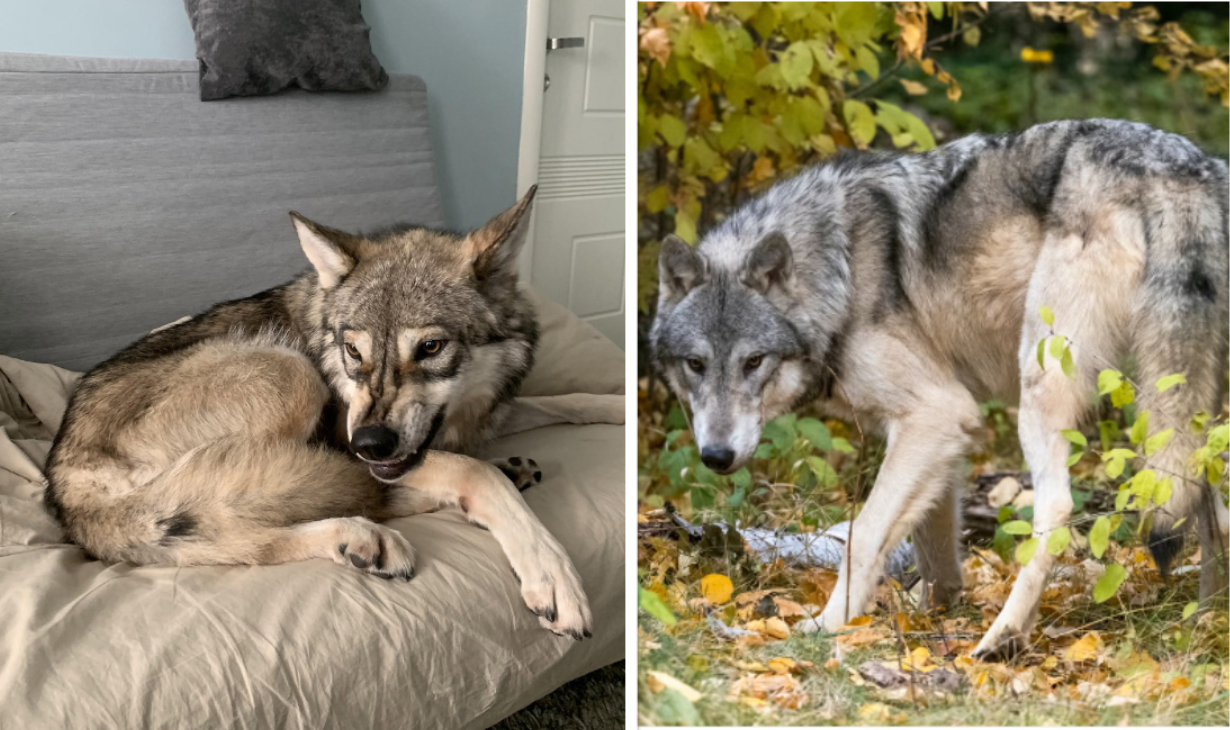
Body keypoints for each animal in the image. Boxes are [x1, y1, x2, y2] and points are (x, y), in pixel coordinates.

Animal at [45, 186, 622, 639]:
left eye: (431, 347)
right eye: (352, 351)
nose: (370, 443)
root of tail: (60, 483)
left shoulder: (485, 413)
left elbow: (563, 401)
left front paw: (616, 406)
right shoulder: (348, 434)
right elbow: (476, 473)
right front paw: (550, 571)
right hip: (288, 375)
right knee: (236, 528)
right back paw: (364, 535)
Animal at [650, 119, 1229, 658]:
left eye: (753, 362)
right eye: (695, 364)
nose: (717, 456)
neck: (839, 272)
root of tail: (1177, 167)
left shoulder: (937, 412)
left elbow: (864, 533)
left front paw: (825, 626)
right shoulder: (941, 431)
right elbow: (933, 549)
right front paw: (931, 612)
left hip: (1047, 388)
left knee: (1060, 507)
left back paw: (1002, 637)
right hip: (1183, 410)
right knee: (1210, 504)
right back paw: (1204, 624)